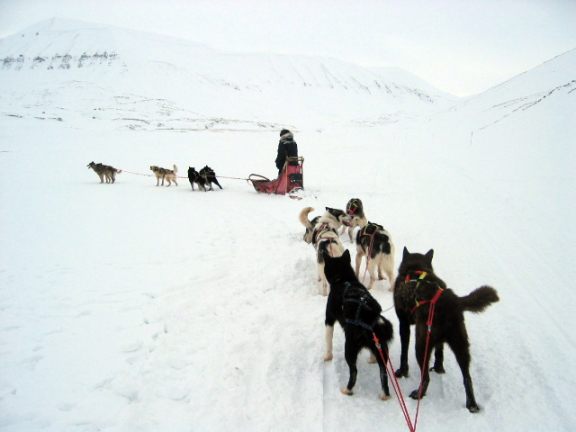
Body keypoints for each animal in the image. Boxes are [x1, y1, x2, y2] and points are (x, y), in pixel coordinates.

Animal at [322, 248, 394, 400]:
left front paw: (327, 356)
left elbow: (328, 341)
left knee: (354, 372)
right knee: (383, 372)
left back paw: (347, 389)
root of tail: (370, 318)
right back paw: (384, 394)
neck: (344, 280)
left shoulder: (329, 319)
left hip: (349, 348)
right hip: (382, 351)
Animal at [394, 246, 498, 412]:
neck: (416, 269)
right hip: (460, 346)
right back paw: (472, 404)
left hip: (421, 344)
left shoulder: (403, 324)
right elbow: (440, 350)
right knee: (467, 378)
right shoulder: (438, 340)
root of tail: (453, 301)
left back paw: (419, 394)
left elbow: (404, 353)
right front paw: (439, 367)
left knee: (426, 378)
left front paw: (402, 372)